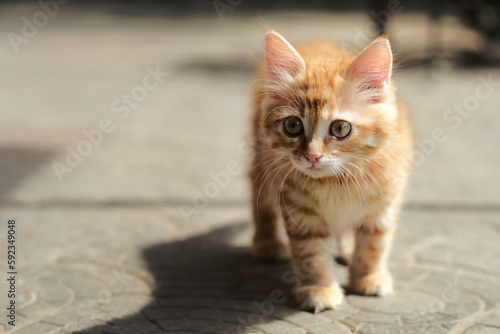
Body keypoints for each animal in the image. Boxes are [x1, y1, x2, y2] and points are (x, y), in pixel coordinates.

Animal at [250, 30, 414, 312]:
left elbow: (374, 244)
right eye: (292, 125)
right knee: (261, 205)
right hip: (262, 167)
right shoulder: (300, 210)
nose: (312, 156)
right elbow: (312, 254)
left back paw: (346, 250)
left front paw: (368, 277)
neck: (337, 183)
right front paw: (320, 290)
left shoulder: (384, 203)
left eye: (340, 128)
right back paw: (267, 245)